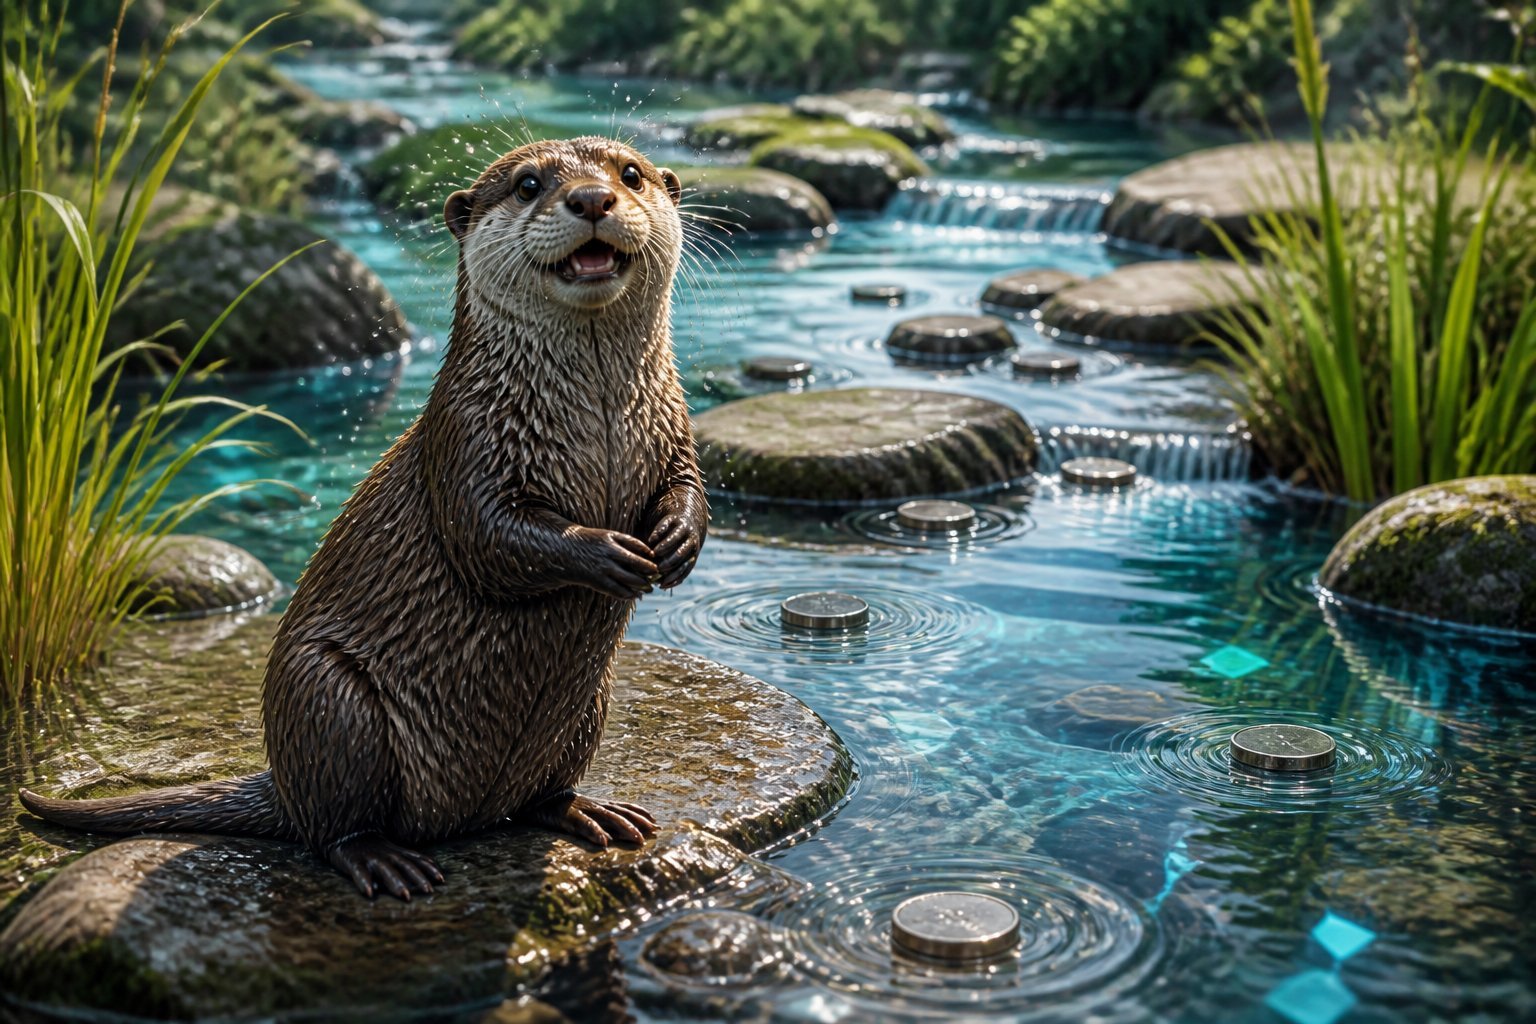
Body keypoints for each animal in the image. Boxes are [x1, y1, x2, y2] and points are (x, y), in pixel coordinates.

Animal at [19, 137, 709, 901]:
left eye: (630, 174)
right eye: (529, 184)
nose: (591, 198)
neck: (601, 423)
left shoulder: (673, 427)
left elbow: (688, 482)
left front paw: (679, 537)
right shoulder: (465, 441)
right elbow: (490, 542)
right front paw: (606, 552)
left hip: (589, 707)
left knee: (538, 794)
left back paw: (587, 811)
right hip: (329, 704)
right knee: (332, 827)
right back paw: (383, 859)